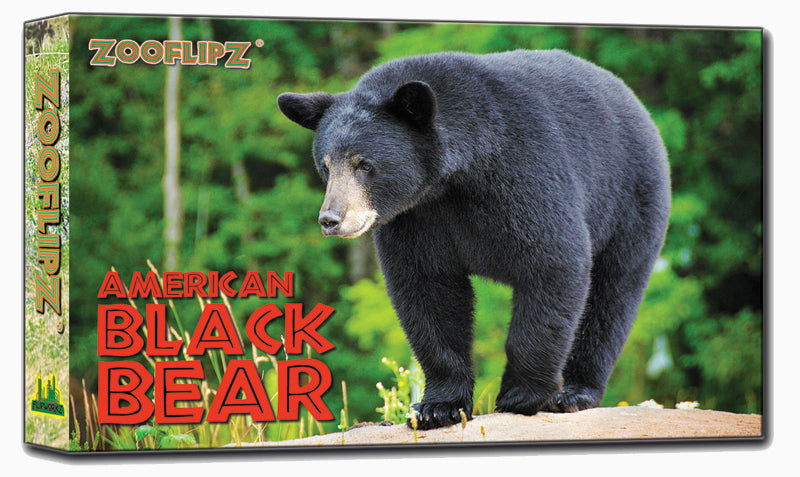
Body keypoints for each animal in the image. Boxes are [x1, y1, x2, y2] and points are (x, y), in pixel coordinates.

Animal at [278, 49, 671, 430]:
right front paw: (437, 407)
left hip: (631, 202)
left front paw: (521, 396)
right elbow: (428, 291)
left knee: (612, 297)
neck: (454, 179)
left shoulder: (525, 174)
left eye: (365, 164)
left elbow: (553, 263)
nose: (331, 219)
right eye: (326, 166)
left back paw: (574, 393)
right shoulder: (416, 219)